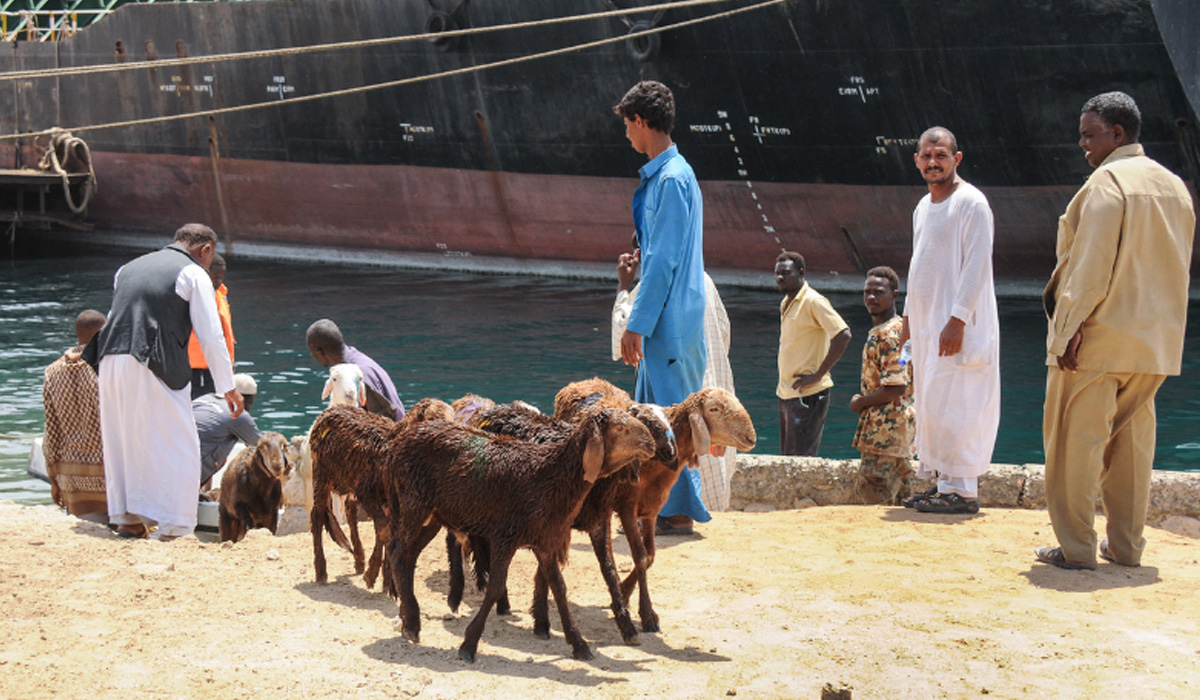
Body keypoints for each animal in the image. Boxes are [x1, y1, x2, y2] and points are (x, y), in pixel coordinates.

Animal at [308, 398, 454, 590]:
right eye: (431, 419)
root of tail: (329, 411)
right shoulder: (367, 492)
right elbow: (383, 530)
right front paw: (373, 576)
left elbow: (384, 532)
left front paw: (386, 580)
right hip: (321, 472)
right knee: (317, 516)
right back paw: (321, 571)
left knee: (350, 512)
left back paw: (359, 560)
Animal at [385, 407, 656, 662]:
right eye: (620, 428)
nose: (651, 443)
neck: (549, 477)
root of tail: (401, 441)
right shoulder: (504, 536)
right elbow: (495, 587)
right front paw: (469, 645)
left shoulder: (545, 542)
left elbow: (559, 588)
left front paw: (579, 645)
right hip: (414, 500)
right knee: (397, 552)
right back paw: (411, 623)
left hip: (434, 513)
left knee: (408, 556)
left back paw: (409, 618)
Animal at [552, 379, 756, 637]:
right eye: (714, 409)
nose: (751, 438)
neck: (654, 469)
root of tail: (582, 382)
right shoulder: (628, 506)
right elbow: (639, 556)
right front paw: (647, 615)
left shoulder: (651, 508)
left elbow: (649, 554)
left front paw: (623, 592)